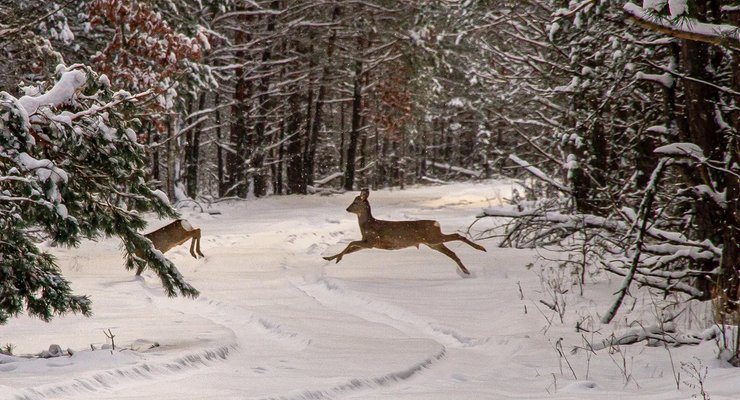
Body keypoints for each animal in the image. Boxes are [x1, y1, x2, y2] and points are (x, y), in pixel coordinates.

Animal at [323, 188, 486, 276]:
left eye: (355, 202)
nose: (347, 209)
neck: (368, 225)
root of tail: (435, 223)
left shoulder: (372, 241)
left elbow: (350, 243)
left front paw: (336, 259)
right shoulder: (367, 243)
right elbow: (350, 248)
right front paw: (328, 258)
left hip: (433, 238)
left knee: (457, 235)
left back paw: (481, 248)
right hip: (433, 243)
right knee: (452, 253)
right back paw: (466, 271)